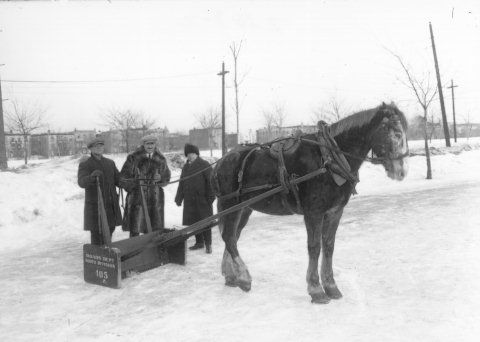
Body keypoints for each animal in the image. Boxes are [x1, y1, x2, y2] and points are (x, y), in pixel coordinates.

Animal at [213, 103, 408, 304]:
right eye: (393, 131)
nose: (401, 171)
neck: (329, 158)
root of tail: (222, 160)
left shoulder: (334, 211)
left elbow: (329, 245)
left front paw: (331, 286)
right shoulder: (314, 212)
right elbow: (314, 247)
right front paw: (316, 289)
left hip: (244, 209)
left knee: (233, 237)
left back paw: (232, 276)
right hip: (229, 205)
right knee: (229, 237)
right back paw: (244, 277)